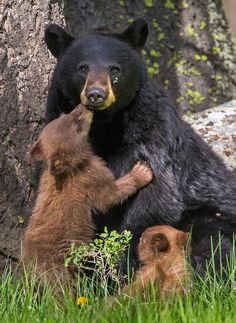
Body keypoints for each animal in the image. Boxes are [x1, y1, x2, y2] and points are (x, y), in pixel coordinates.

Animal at [44, 17, 236, 276]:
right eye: (82, 67)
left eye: (114, 68)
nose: (96, 94)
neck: (104, 127)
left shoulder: (151, 139)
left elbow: (153, 201)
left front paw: (124, 266)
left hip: (210, 217)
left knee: (210, 245)